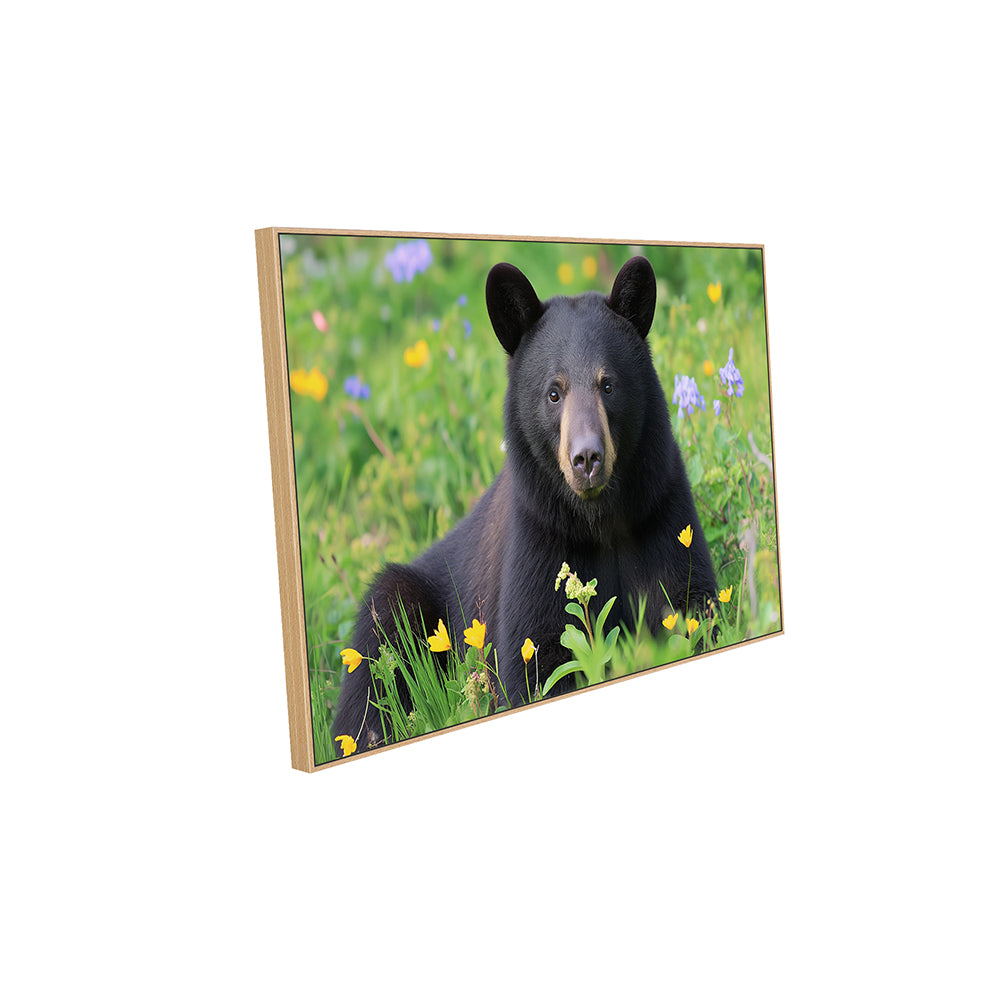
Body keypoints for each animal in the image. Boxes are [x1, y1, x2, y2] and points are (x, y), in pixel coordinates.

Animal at [333, 255, 716, 755]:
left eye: (608, 385)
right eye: (554, 392)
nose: (586, 459)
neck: (598, 521)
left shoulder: (660, 512)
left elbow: (689, 604)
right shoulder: (539, 538)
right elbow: (533, 659)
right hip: (394, 607)